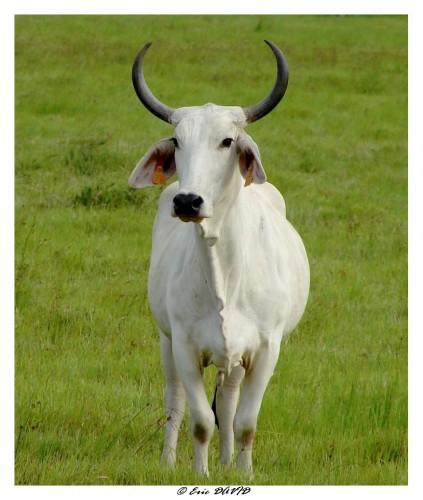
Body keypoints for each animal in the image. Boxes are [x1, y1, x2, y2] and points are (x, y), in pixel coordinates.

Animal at [129, 41, 312, 474]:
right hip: (166, 342)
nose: (187, 201)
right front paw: (200, 471)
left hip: (235, 360)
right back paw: (168, 461)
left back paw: (229, 461)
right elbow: (199, 421)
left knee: (228, 404)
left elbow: (244, 422)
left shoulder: (265, 350)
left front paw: (244, 470)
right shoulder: (183, 346)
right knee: (175, 402)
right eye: (177, 140)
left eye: (228, 141)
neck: (223, 273)